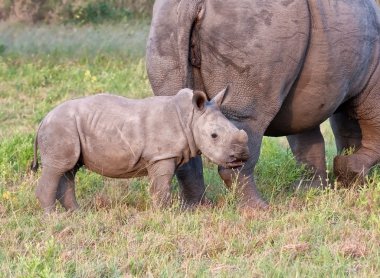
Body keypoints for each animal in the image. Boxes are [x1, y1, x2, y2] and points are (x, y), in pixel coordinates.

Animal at [31, 89, 248, 213]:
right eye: (214, 136)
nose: (241, 156)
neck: (191, 117)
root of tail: (43, 120)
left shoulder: (163, 155)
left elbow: (159, 185)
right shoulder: (161, 156)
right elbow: (161, 186)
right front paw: (166, 215)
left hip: (66, 129)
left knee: (69, 169)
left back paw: (78, 214)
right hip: (60, 127)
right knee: (57, 168)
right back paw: (53, 217)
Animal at [147, 0, 380, 208]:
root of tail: (192, 3)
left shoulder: (309, 97)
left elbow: (312, 139)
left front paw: (315, 190)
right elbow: (369, 128)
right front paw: (350, 175)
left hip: (166, 26)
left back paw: (197, 208)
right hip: (253, 32)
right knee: (248, 120)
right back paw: (259, 209)